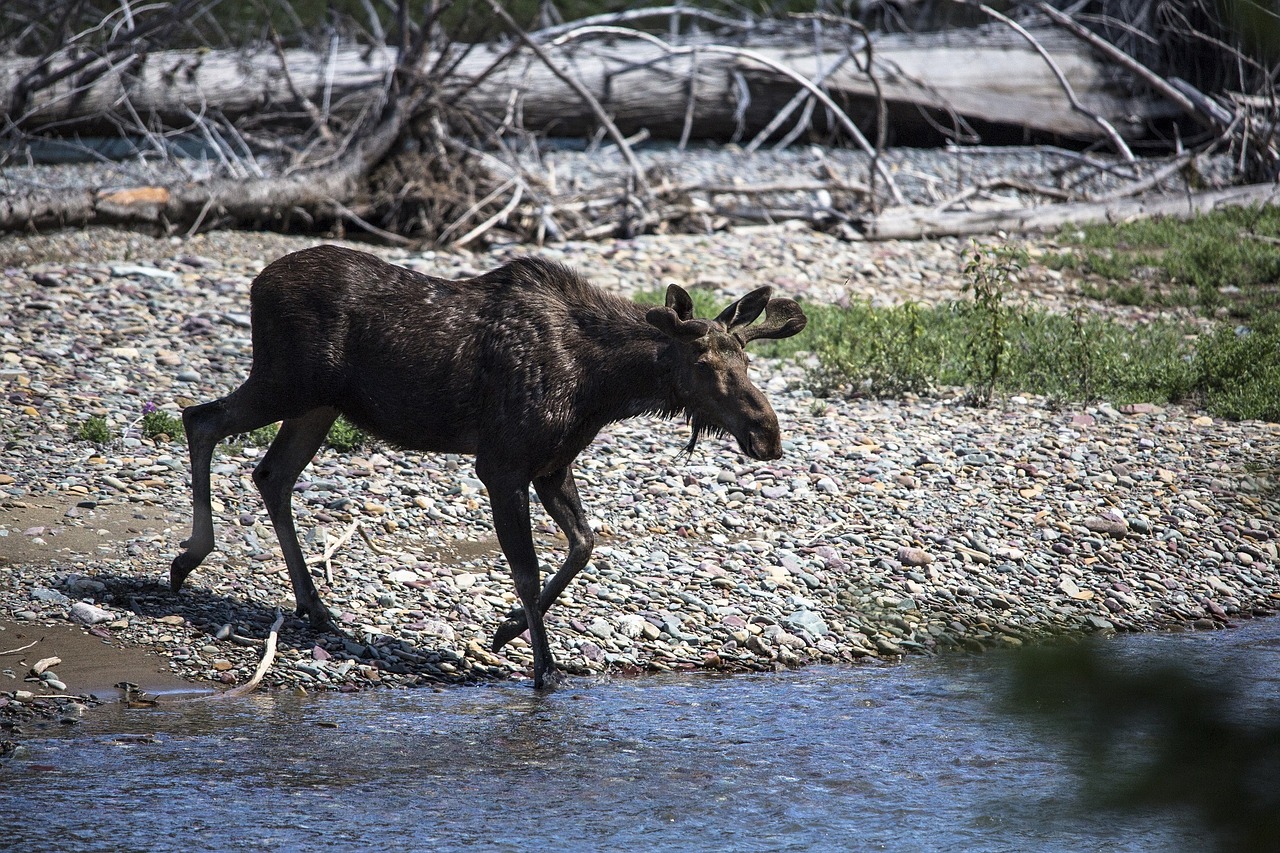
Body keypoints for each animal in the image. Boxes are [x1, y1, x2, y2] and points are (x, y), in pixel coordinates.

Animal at [170, 244, 803, 686]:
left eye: (746, 359)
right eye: (704, 363)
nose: (766, 434)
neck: (606, 386)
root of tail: (258, 281)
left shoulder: (551, 465)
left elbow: (583, 544)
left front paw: (505, 632)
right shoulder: (501, 463)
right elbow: (526, 568)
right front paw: (543, 669)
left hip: (317, 404)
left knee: (269, 473)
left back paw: (314, 606)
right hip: (287, 382)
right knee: (200, 419)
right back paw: (190, 557)